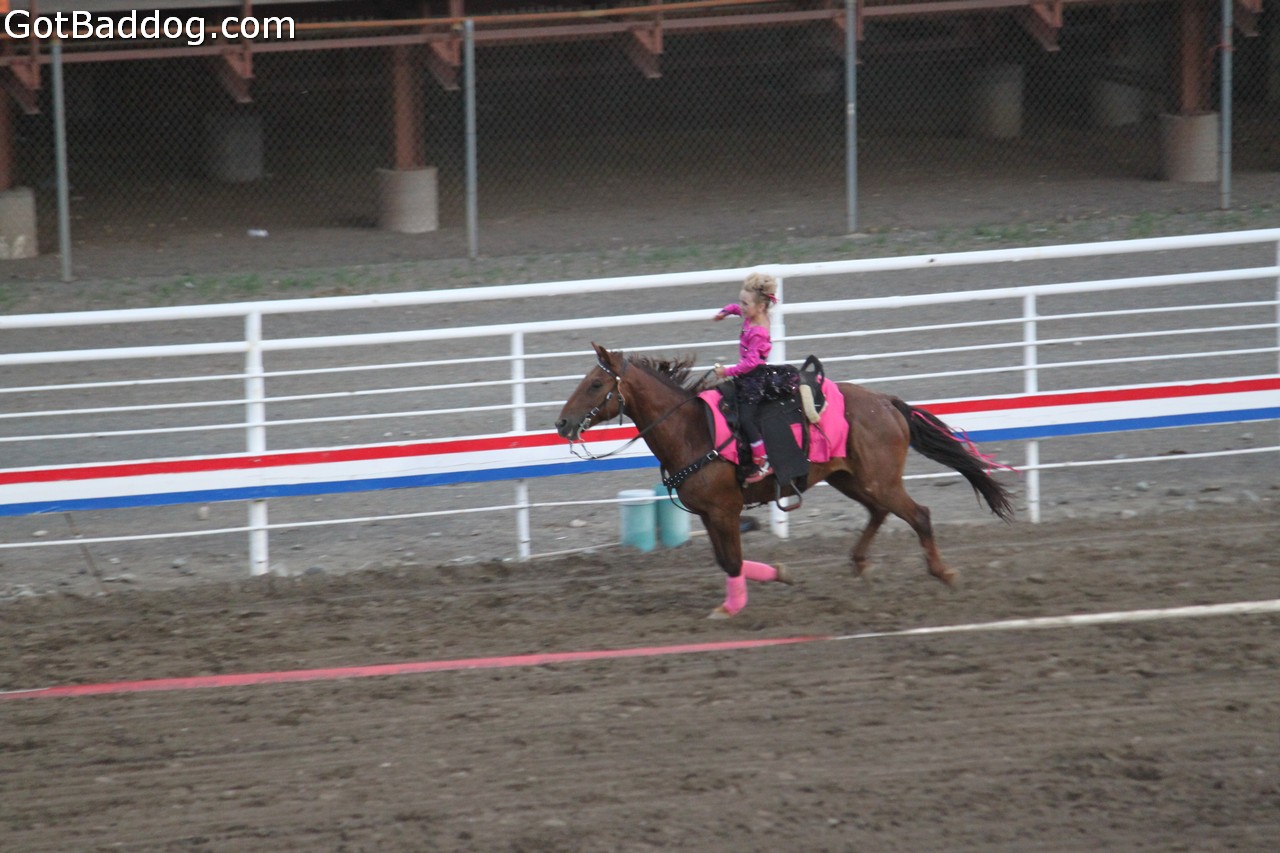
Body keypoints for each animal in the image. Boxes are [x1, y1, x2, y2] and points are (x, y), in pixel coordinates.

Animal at [555, 343, 1014, 618]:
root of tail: (887, 402)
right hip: (850, 478)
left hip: (880, 479)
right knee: (878, 513)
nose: (562, 423)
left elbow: (733, 561)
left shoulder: (725, 510)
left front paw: (731, 607)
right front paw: (780, 574)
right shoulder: (709, 513)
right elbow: (726, 561)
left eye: (595, 384)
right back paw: (860, 564)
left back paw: (945, 574)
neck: (693, 430)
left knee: (919, 515)